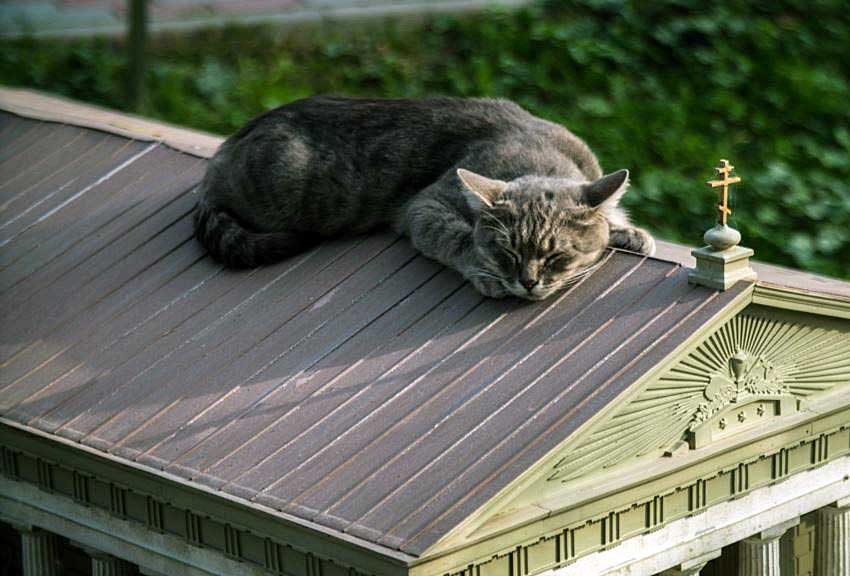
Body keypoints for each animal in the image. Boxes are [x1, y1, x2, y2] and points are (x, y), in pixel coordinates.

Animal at [195, 94, 652, 300]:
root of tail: (223, 151)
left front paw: (628, 232)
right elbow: (457, 238)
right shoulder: (427, 205)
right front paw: (484, 274)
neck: (542, 158)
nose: (527, 282)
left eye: (556, 256)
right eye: (507, 253)